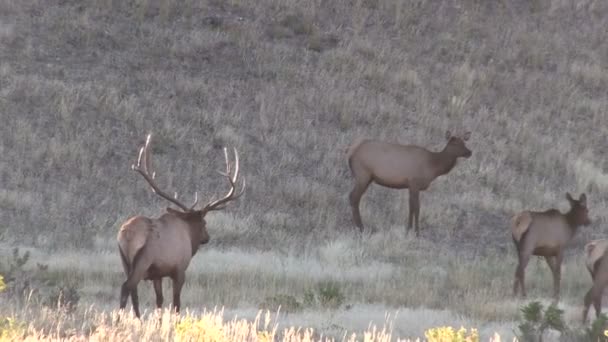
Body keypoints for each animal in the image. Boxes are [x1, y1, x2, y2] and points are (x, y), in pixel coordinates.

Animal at [117, 134, 243, 318]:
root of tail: (125, 235)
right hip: (142, 261)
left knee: (133, 293)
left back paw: (135, 319)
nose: (207, 237)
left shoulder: (158, 274)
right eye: (204, 223)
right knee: (126, 287)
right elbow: (176, 303)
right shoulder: (179, 270)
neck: (189, 236)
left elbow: (159, 301)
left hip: (125, 262)